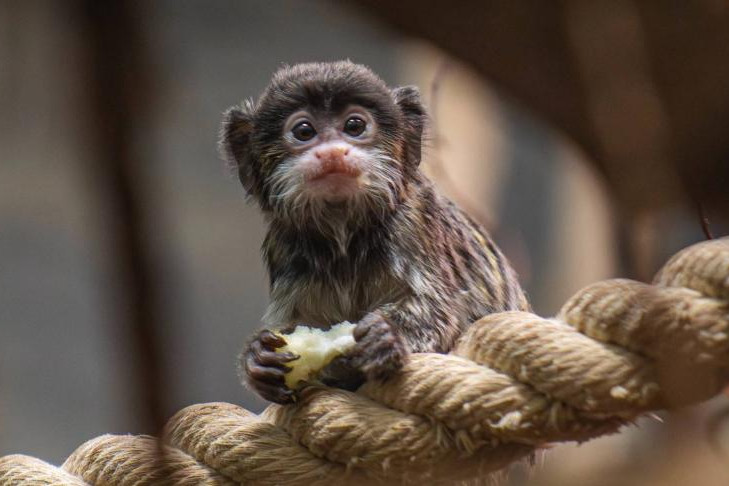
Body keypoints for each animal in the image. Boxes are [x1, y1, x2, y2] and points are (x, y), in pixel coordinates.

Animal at [219, 59, 528, 402]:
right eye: (304, 131)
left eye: (354, 126)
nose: (332, 152)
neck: (344, 236)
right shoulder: (283, 248)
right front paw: (257, 359)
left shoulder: (414, 223)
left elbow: (440, 314)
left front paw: (387, 337)